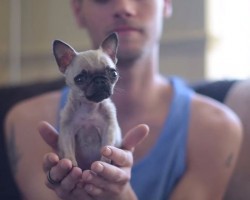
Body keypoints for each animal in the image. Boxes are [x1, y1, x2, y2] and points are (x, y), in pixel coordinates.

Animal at [53, 32, 121, 170]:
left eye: (113, 74)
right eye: (80, 79)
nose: (100, 80)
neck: (90, 107)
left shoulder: (109, 129)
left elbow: (107, 148)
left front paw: (105, 161)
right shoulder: (67, 131)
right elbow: (68, 148)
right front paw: (71, 162)